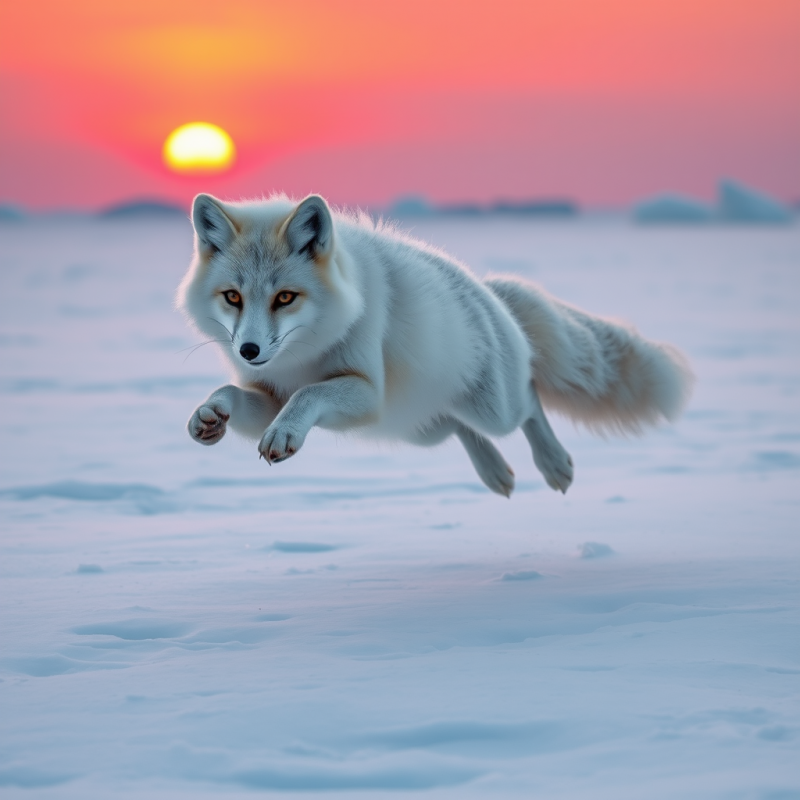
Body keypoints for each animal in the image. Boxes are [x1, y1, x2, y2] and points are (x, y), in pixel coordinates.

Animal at [177, 193, 693, 497]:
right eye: (233, 297)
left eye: (285, 297)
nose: (248, 351)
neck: (304, 353)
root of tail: (489, 291)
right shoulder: (272, 394)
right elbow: (232, 393)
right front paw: (209, 415)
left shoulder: (366, 392)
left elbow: (309, 394)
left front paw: (283, 434)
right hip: (417, 426)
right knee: (458, 425)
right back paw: (496, 473)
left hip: (488, 409)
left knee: (527, 399)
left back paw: (554, 465)